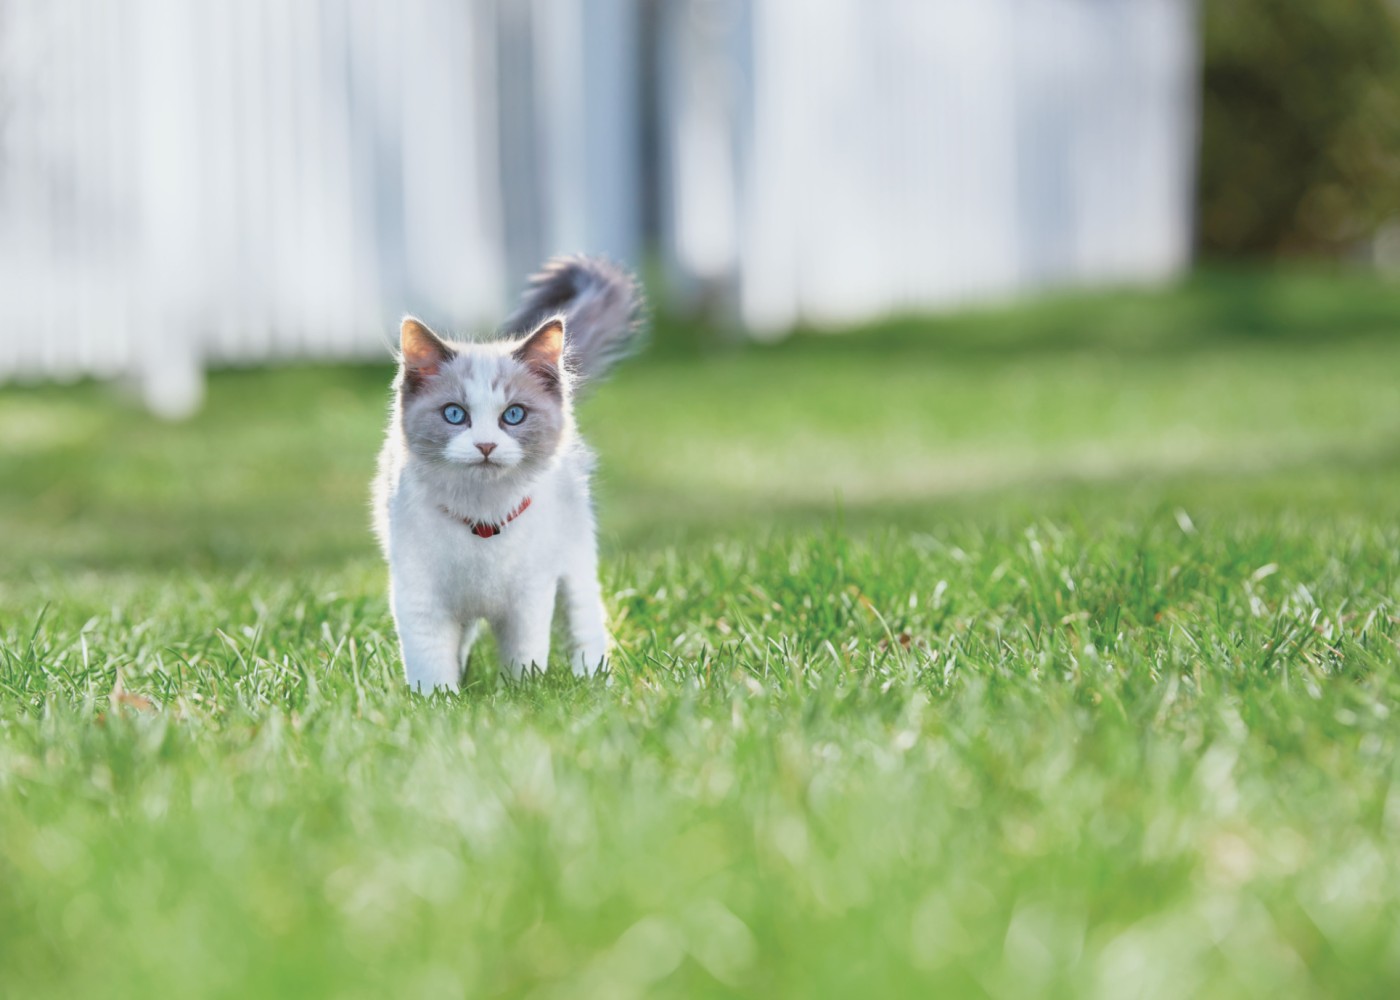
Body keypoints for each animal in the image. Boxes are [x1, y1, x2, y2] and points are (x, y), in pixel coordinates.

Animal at [366, 257, 641, 689]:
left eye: (513, 415)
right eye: (454, 414)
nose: (485, 446)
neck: (482, 516)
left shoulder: (529, 597)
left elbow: (523, 657)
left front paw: (520, 694)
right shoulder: (420, 596)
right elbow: (431, 663)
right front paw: (439, 698)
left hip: (576, 557)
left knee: (585, 623)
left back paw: (594, 681)